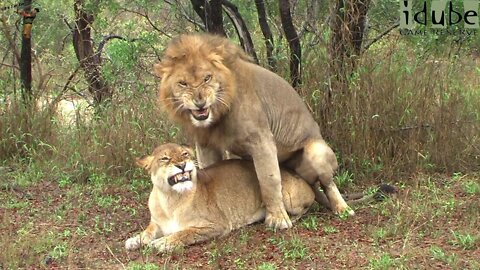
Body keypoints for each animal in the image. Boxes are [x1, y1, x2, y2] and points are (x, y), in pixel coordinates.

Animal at [123, 144, 316, 252]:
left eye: (185, 154)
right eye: (165, 158)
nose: (182, 165)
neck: (170, 199)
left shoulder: (217, 225)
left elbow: (185, 233)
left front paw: (163, 243)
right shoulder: (156, 223)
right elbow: (147, 232)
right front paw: (134, 240)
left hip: (282, 192)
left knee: (301, 208)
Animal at [155, 33, 352, 228]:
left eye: (207, 78)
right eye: (183, 83)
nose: (200, 102)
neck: (218, 114)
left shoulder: (262, 140)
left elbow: (269, 180)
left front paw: (278, 219)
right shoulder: (206, 144)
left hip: (316, 151)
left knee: (329, 184)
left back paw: (342, 208)